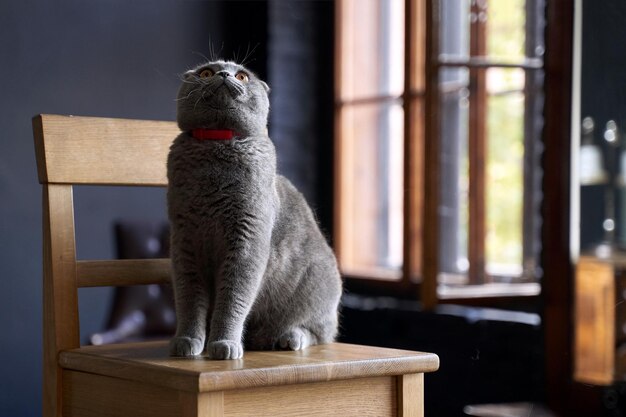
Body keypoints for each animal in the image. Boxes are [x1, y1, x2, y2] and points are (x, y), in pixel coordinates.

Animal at [166, 60, 342, 360]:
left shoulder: (247, 240)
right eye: (206, 73)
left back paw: (289, 338)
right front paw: (187, 341)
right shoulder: (184, 241)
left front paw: (224, 344)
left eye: (242, 76)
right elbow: (189, 299)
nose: (224, 74)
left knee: (320, 332)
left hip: (318, 284)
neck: (216, 142)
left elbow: (233, 297)